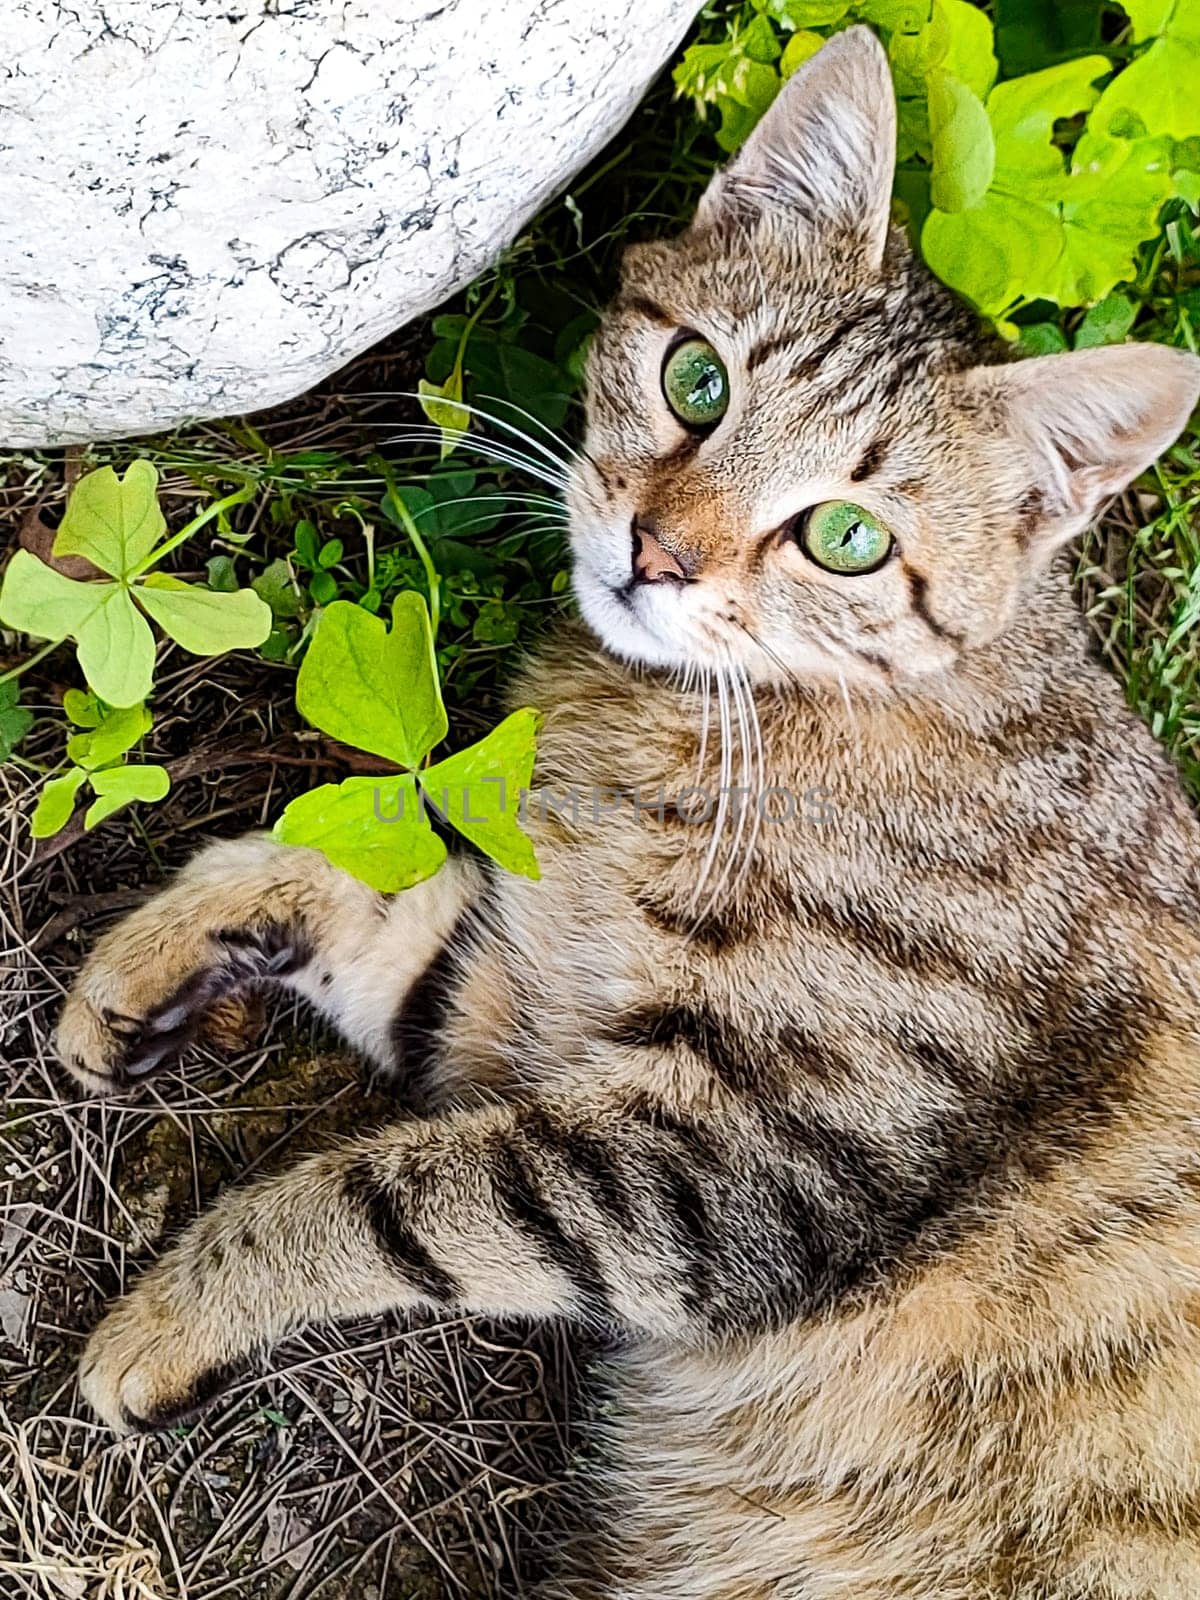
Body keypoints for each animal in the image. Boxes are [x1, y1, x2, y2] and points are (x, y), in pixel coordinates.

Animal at [58, 28, 1200, 1600]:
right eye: (695, 380)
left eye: (848, 538)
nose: (657, 552)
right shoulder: (515, 1014)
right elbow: (342, 884)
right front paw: (151, 957)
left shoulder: (736, 1162)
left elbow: (374, 1196)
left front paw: (169, 1316)